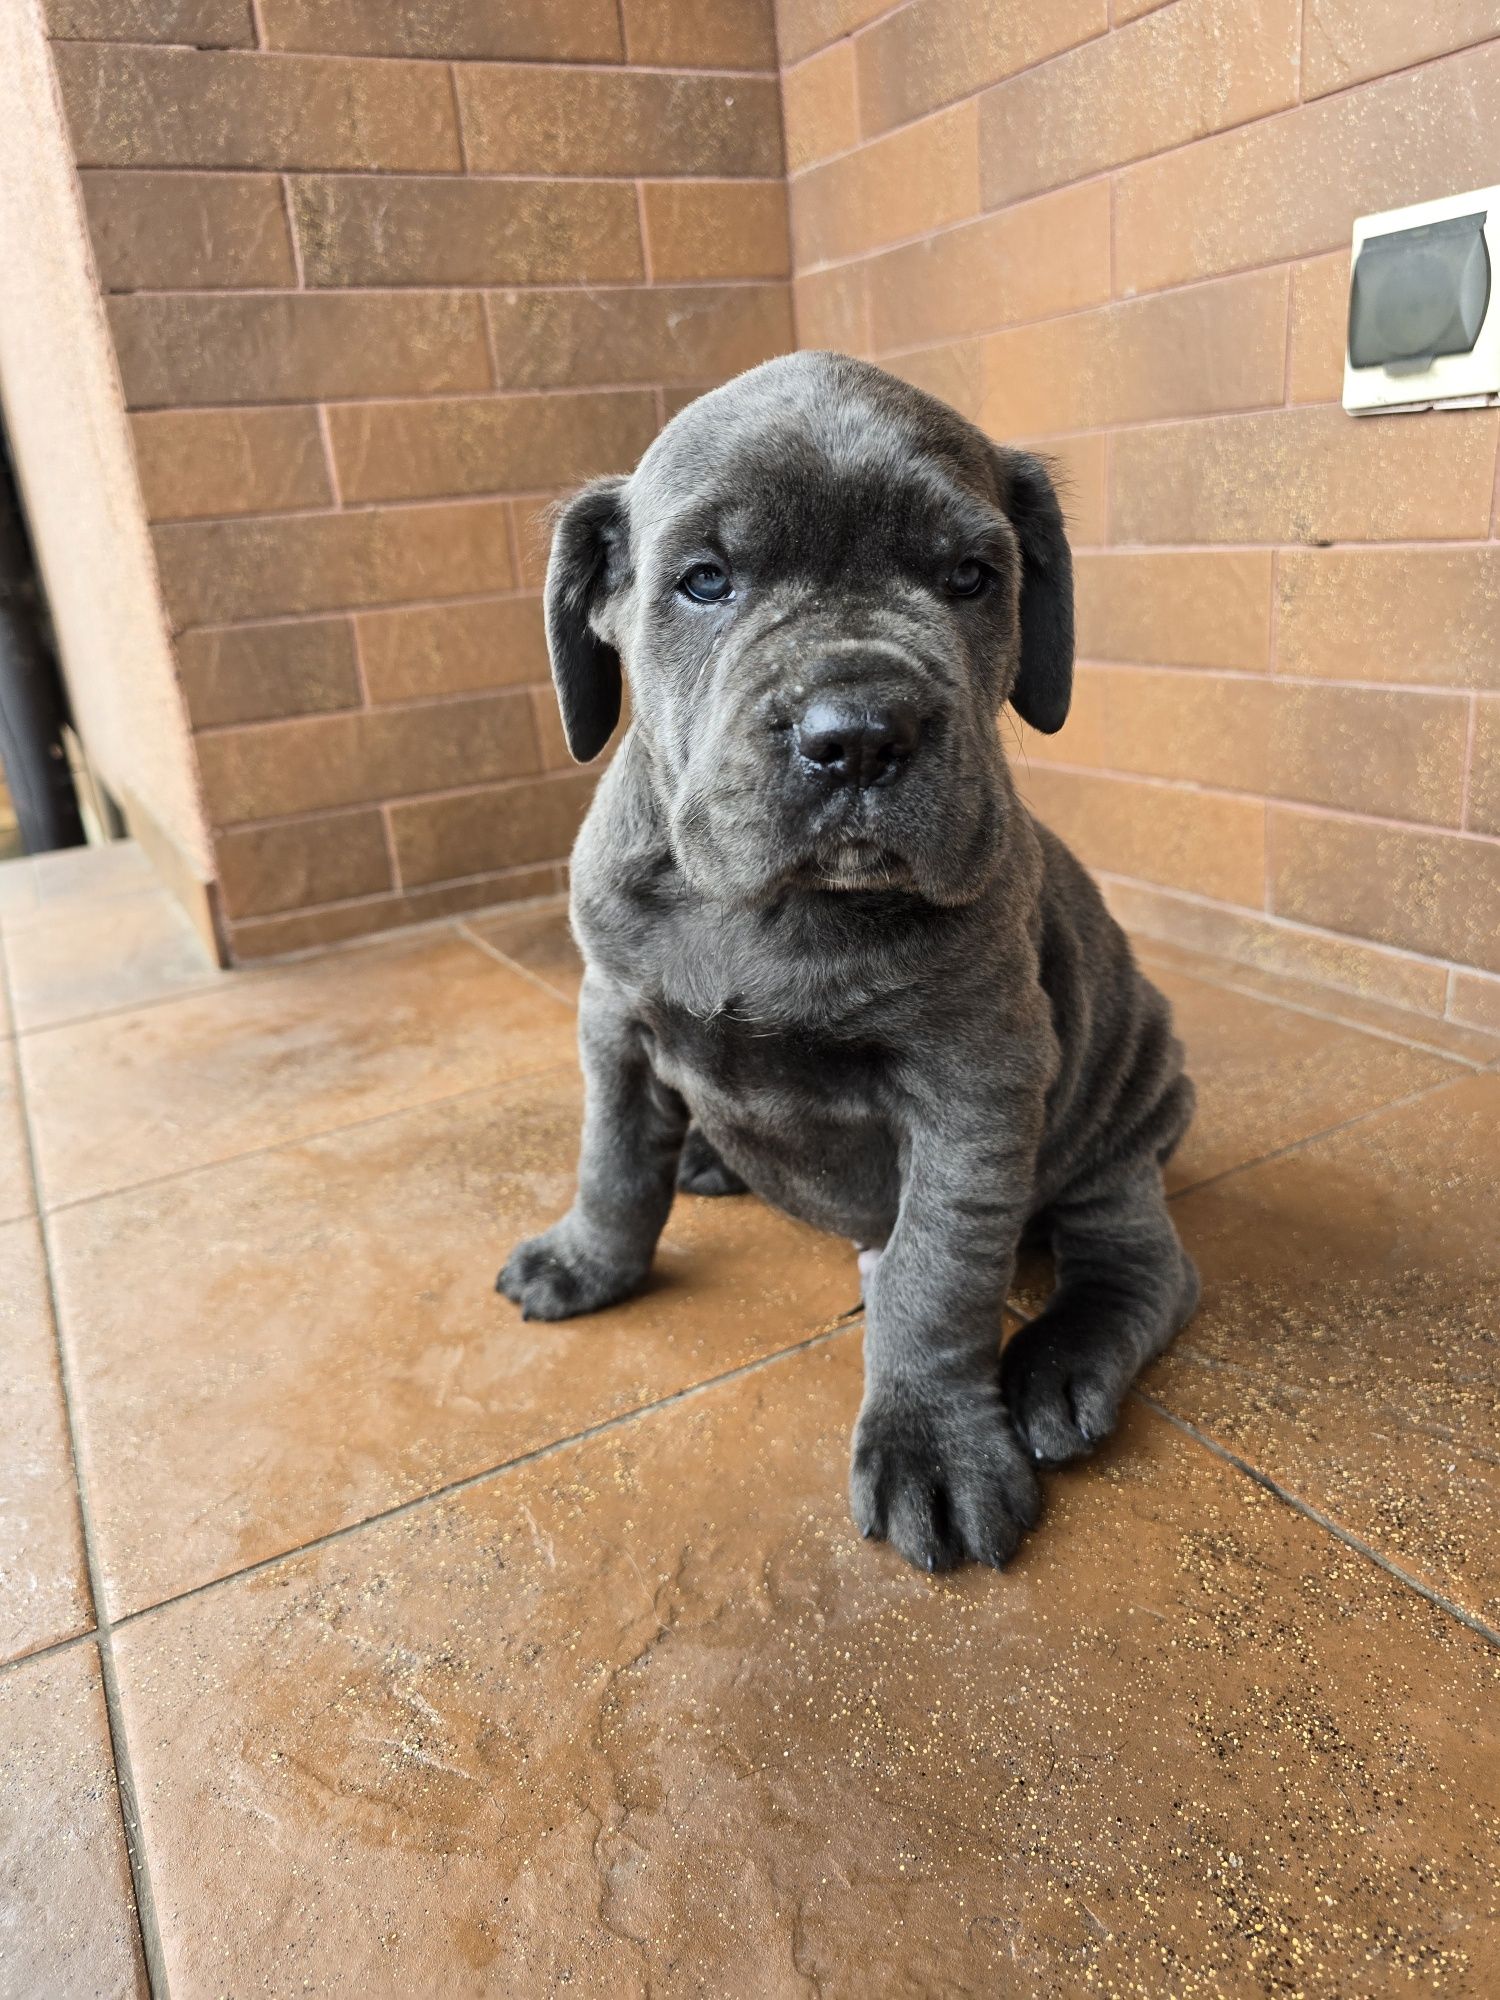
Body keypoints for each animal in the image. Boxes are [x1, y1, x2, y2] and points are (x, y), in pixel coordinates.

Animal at [500, 356, 1208, 1576]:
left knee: (1136, 1260)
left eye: (972, 576)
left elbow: (938, 1274)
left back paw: (1059, 1373)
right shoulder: (615, 1019)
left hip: (1122, 1105)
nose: (862, 733)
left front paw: (933, 1445)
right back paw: (712, 1159)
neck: (773, 907)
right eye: (704, 581)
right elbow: (613, 1163)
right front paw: (589, 1261)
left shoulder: (976, 1080)